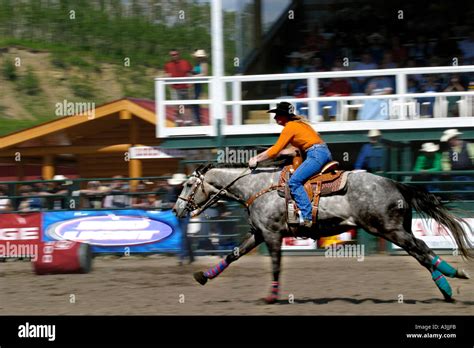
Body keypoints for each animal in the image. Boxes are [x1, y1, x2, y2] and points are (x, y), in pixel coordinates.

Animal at [172, 162, 472, 302]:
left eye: (188, 185)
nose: (176, 210)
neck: (256, 188)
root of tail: (395, 183)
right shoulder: (259, 233)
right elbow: (232, 255)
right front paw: (203, 276)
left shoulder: (272, 235)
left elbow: (276, 265)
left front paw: (272, 296)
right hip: (397, 229)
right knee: (421, 251)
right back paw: (448, 284)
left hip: (389, 229)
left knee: (421, 250)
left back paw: (452, 278)